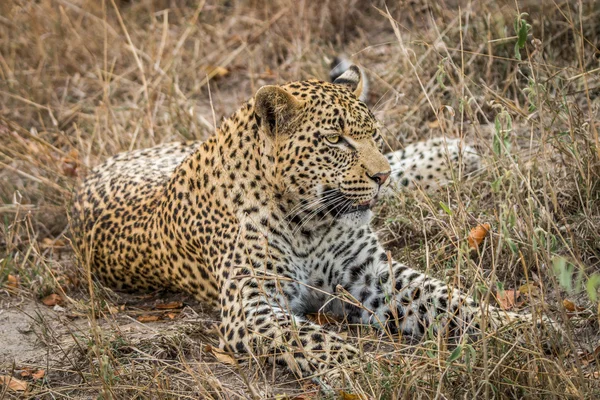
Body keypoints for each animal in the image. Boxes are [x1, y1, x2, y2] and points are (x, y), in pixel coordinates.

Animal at [71, 65, 556, 384]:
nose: (379, 176)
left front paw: (518, 328)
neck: (309, 222)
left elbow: (445, 297)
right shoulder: (251, 304)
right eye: (335, 140)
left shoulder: (370, 273)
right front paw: (362, 369)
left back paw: (449, 155)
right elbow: (309, 338)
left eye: (373, 134)